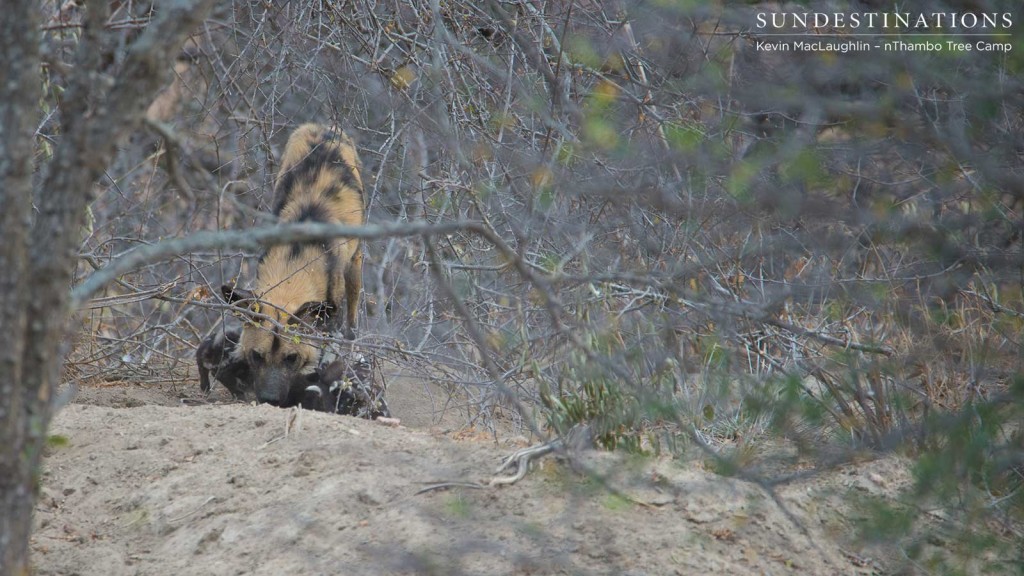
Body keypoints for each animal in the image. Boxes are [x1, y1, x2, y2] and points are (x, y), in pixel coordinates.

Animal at [222, 124, 366, 405]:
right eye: (257, 356)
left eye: (292, 359)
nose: (270, 400)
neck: (295, 260)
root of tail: (321, 127)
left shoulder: (330, 315)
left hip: (355, 266)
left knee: (352, 324)